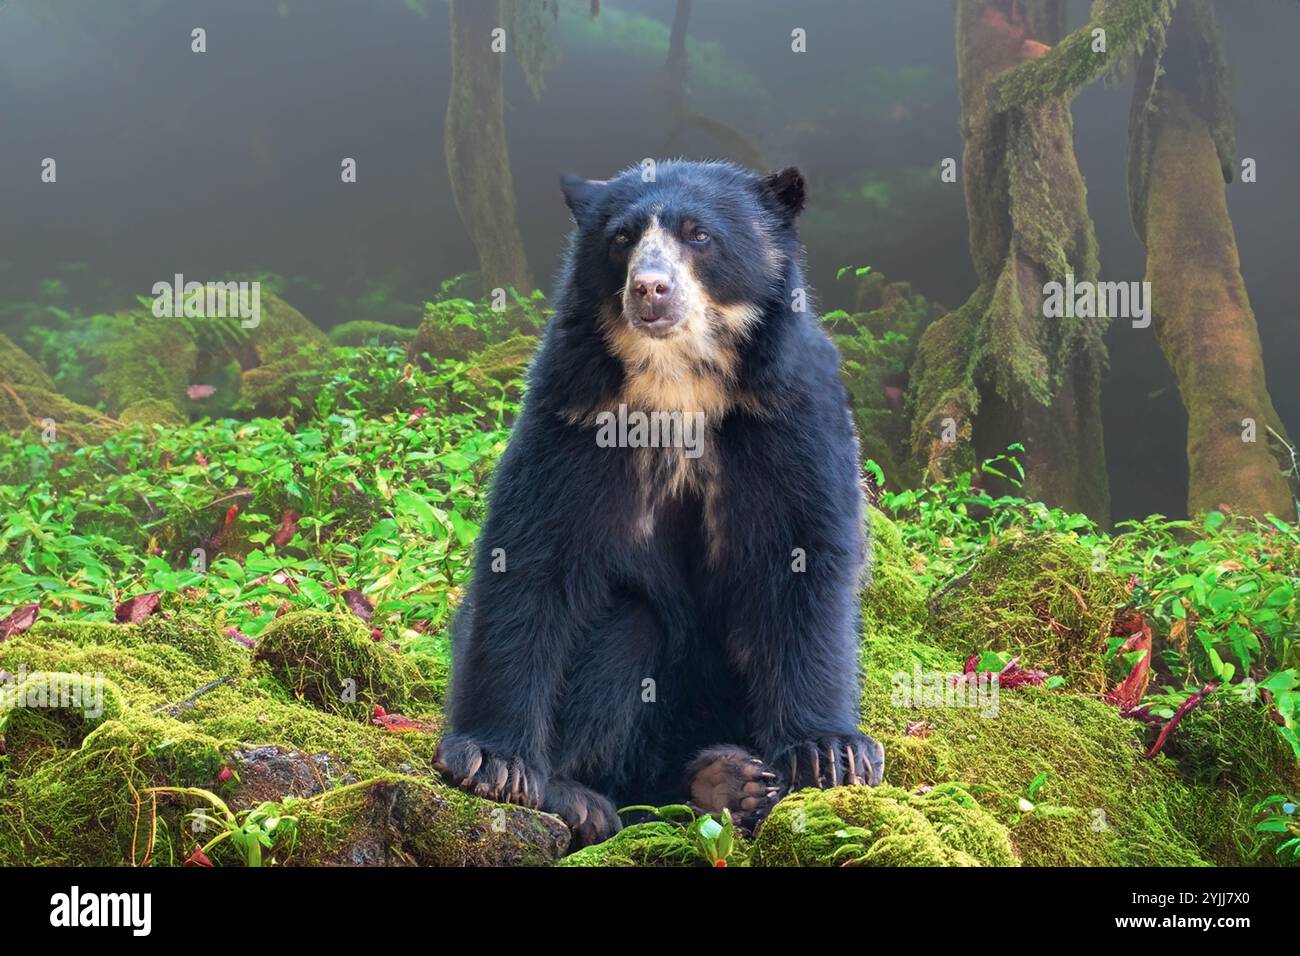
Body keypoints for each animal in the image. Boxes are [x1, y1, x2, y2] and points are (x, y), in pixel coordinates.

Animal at [436, 160, 883, 848]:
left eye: (698, 234)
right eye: (621, 237)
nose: (650, 289)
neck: (677, 380)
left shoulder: (790, 412)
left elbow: (803, 558)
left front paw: (829, 753)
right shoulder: (574, 410)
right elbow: (530, 555)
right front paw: (492, 762)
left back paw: (729, 781)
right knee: (629, 626)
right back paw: (592, 796)